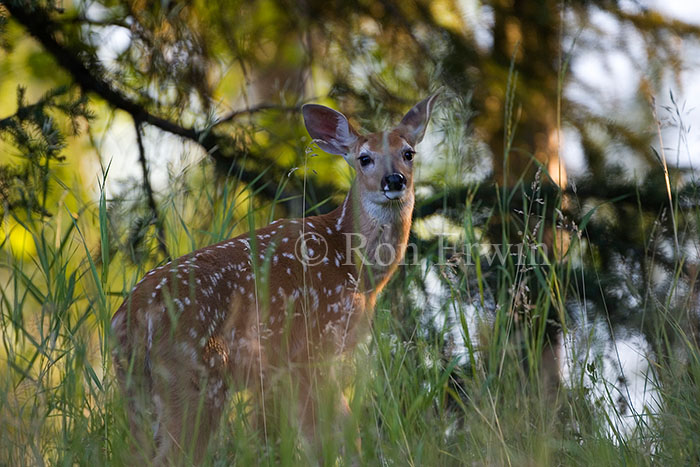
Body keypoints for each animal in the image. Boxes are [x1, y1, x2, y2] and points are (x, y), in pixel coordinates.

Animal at [111, 91, 440, 465]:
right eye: (364, 158)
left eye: (408, 153)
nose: (394, 181)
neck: (355, 267)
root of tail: (131, 316)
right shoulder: (311, 349)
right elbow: (326, 436)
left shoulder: (288, 368)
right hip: (194, 375)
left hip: (136, 388)